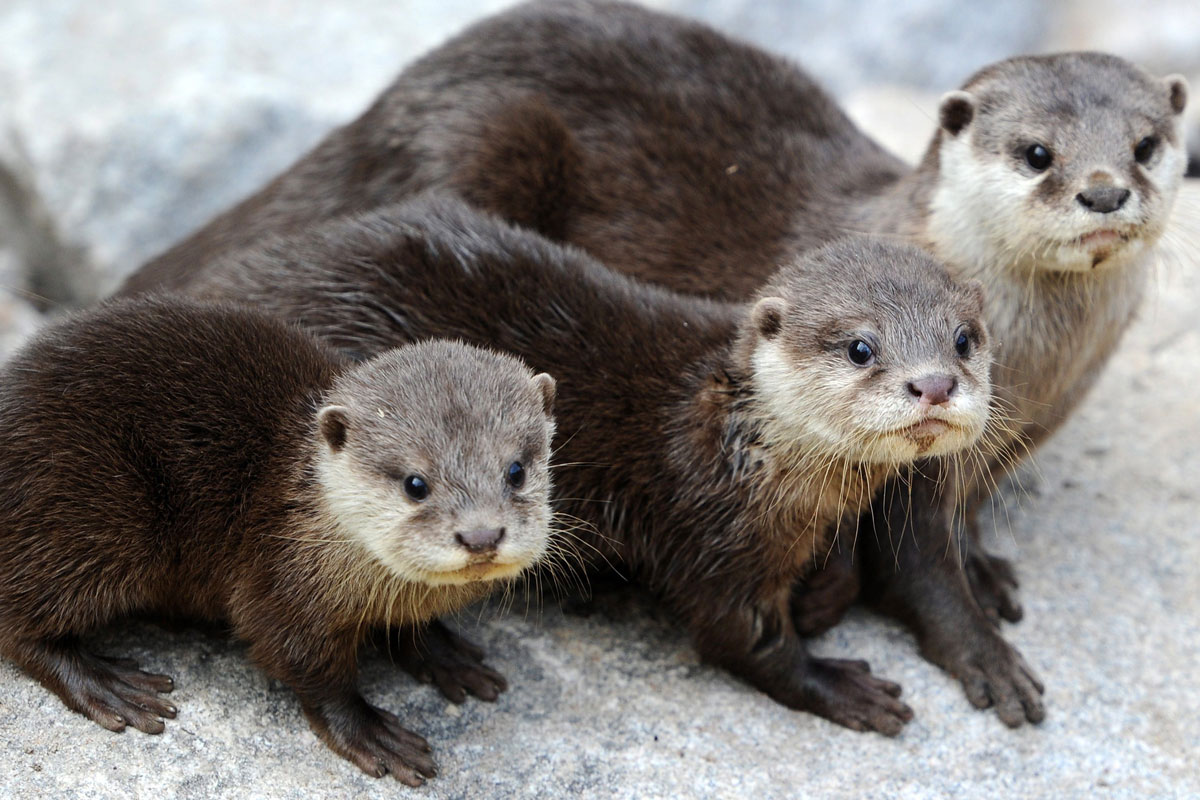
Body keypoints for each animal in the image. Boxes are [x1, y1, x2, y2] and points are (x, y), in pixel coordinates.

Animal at [0, 297, 559, 786]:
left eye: (515, 470)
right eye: (415, 483)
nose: (481, 535)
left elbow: (409, 627)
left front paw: (445, 655)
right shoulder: (280, 579)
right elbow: (300, 660)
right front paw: (368, 730)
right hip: (93, 514)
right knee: (18, 623)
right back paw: (107, 684)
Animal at [166, 191, 993, 734]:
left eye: (963, 338)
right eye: (860, 347)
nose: (934, 385)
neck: (738, 446)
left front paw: (829, 592)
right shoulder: (711, 534)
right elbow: (741, 638)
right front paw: (838, 683)